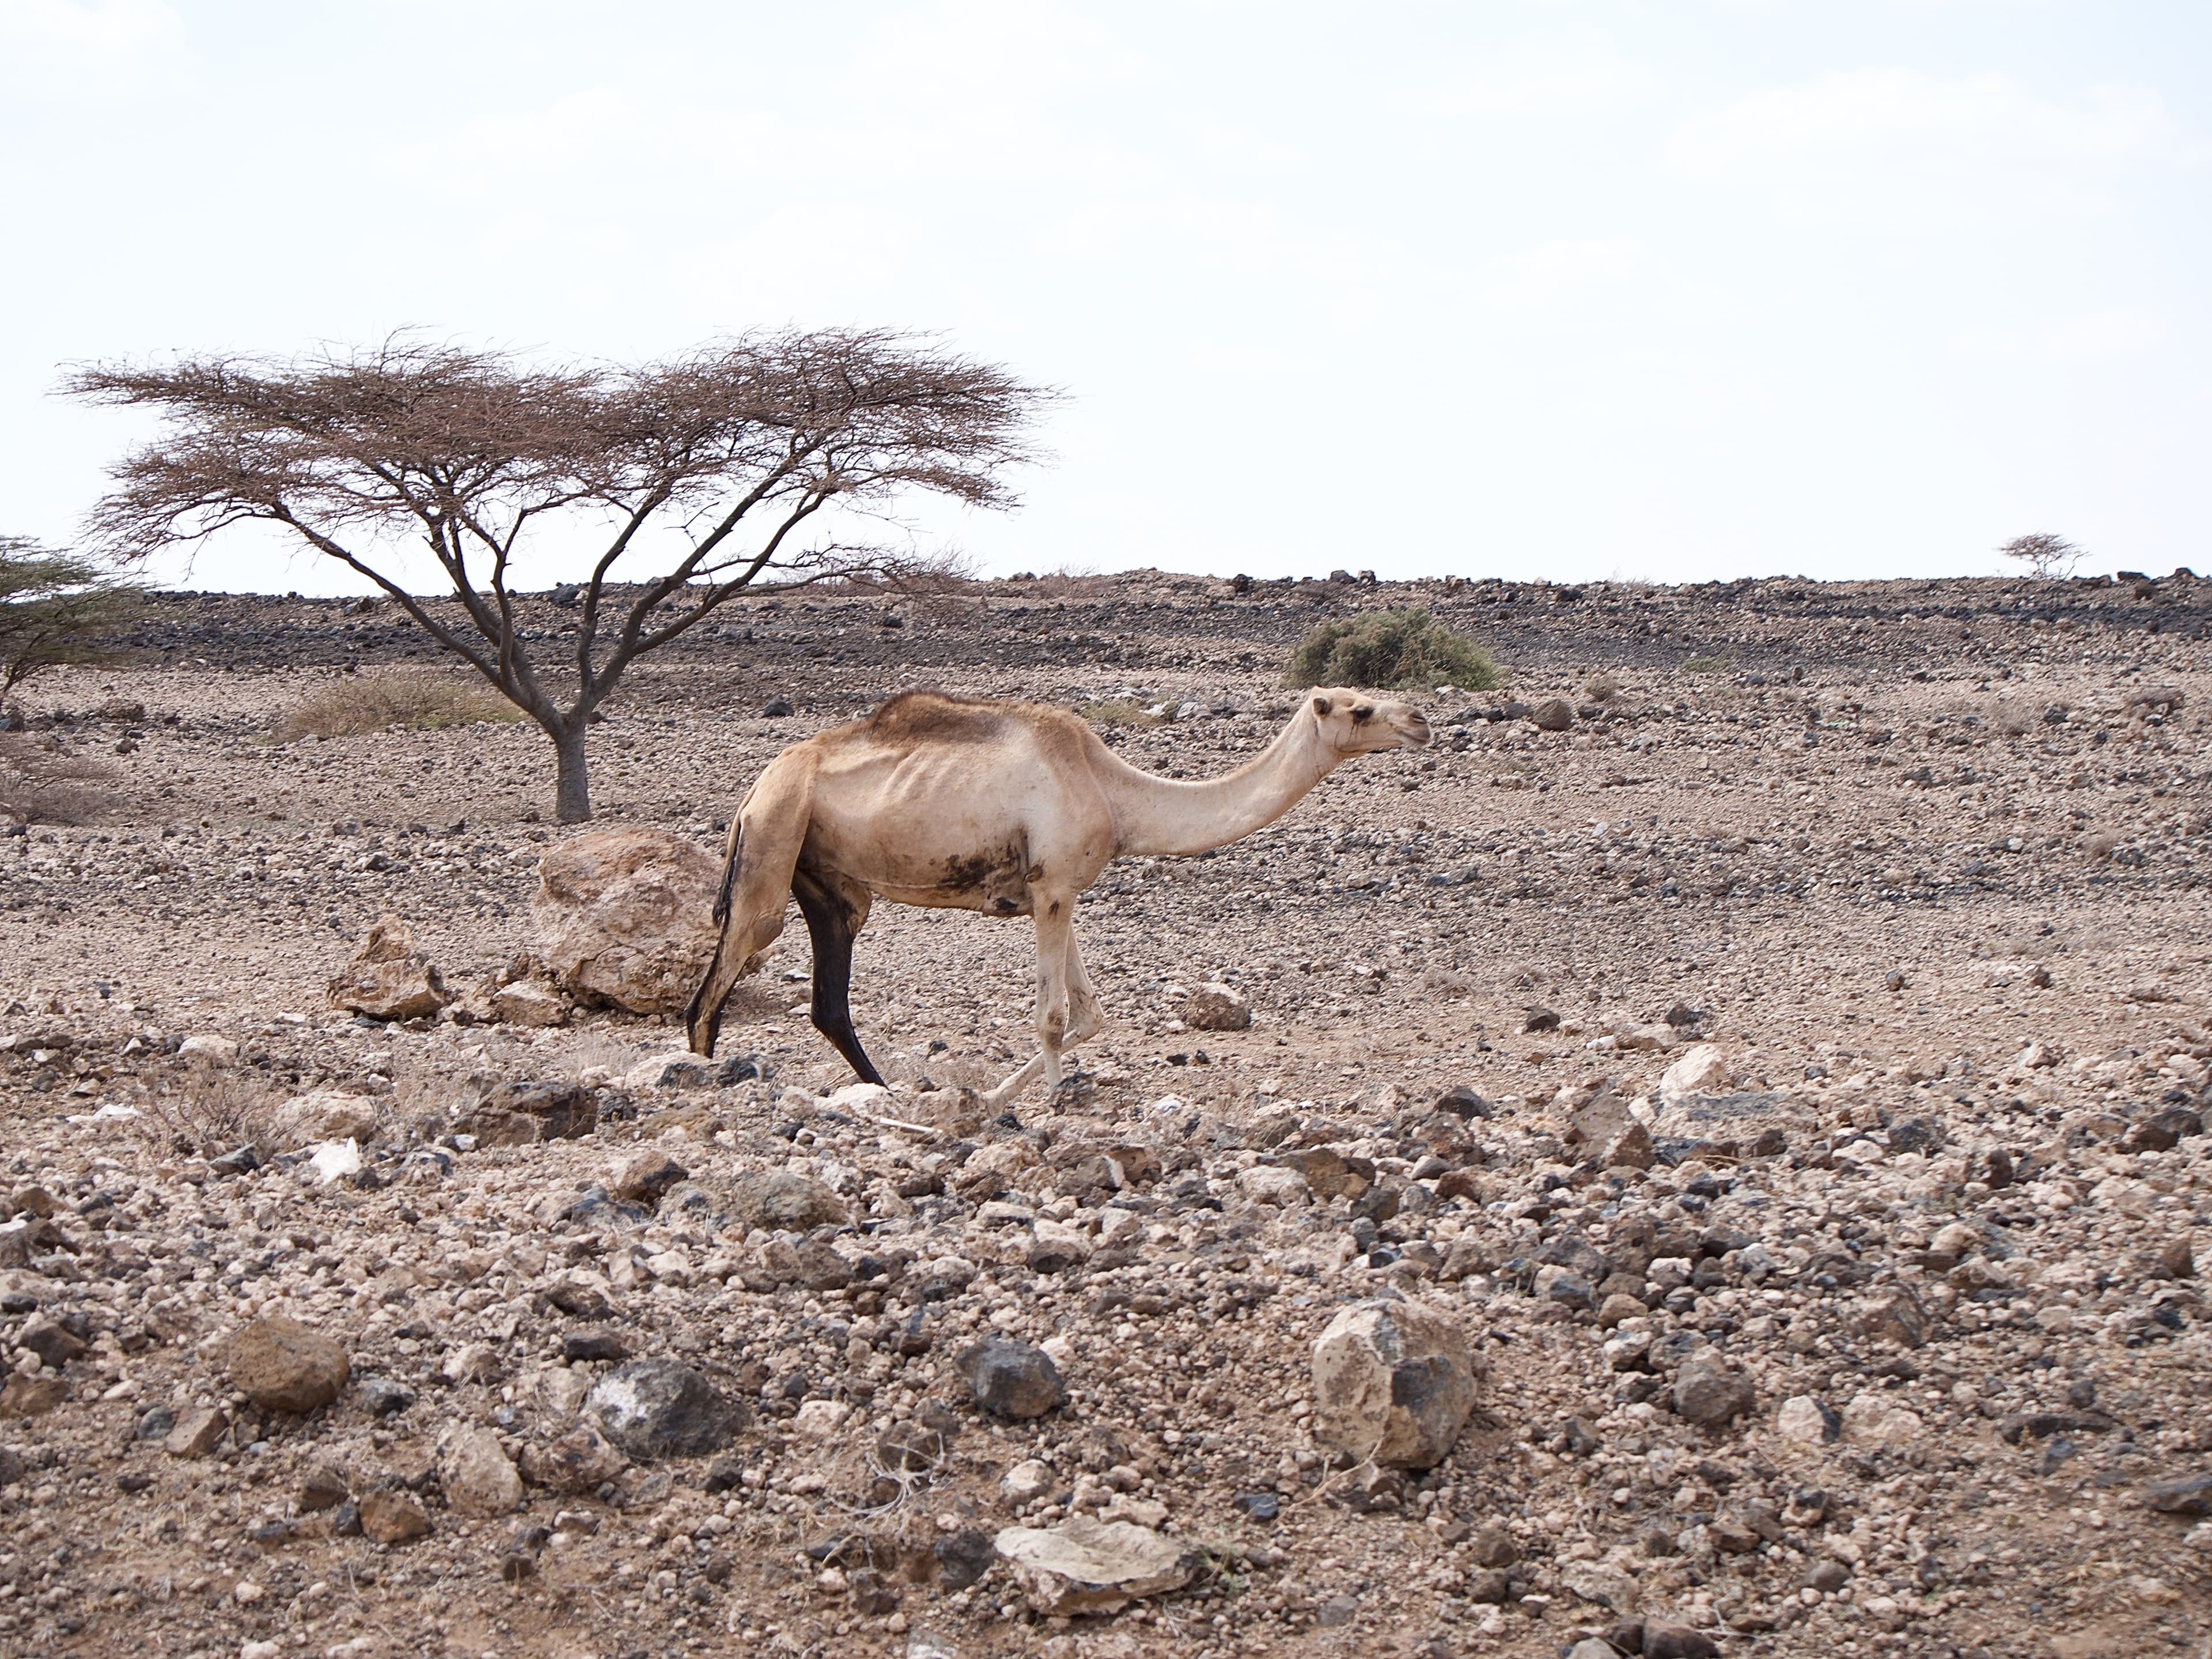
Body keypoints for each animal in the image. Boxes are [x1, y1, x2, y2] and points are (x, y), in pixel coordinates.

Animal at [684, 686, 1431, 1105]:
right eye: (1360, 708)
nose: (1422, 720)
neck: (1115, 793)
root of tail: (756, 786)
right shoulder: (1050, 889)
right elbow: (1051, 1015)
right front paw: (1050, 1103)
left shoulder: (1061, 888)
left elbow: (1091, 1014)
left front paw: (991, 1095)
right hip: (775, 834)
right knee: (720, 980)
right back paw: (701, 1079)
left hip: (828, 876)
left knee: (830, 994)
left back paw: (881, 1090)